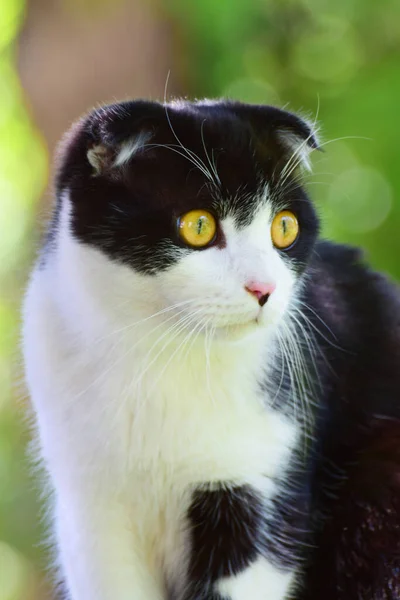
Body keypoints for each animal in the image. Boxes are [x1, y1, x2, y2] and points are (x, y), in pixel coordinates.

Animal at [22, 99, 400, 600]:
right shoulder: (90, 511)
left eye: (284, 227)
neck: (161, 355)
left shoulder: (260, 484)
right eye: (198, 226)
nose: (264, 289)